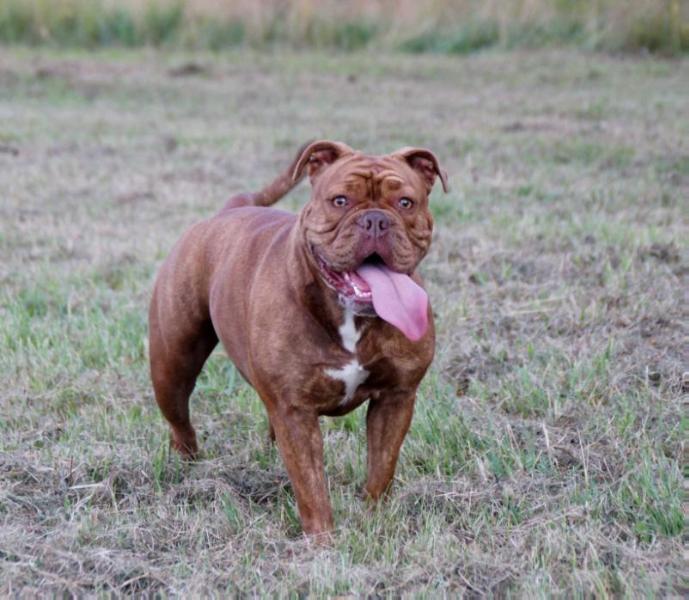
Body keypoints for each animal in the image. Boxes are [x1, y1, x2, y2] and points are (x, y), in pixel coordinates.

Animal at [148, 139, 448, 536]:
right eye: (340, 200)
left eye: (405, 203)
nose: (376, 220)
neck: (350, 316)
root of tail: (230, 210)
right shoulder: (295, 411)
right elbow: (311, 485)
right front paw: (322, 540)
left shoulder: (395, 398)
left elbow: (381, 467)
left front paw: (374, 519)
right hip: (172, 364)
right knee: (179, 419)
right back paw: (188, 469)